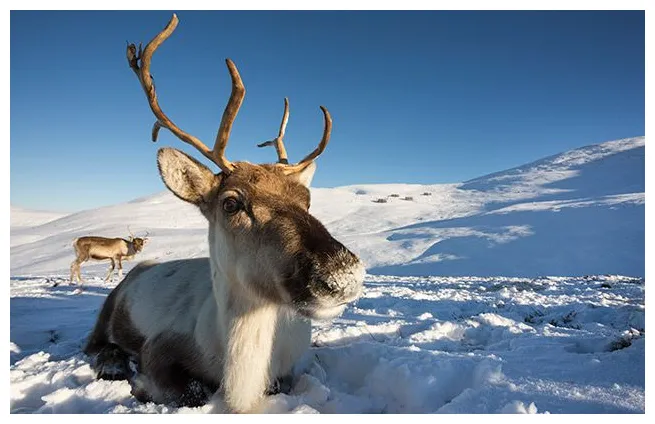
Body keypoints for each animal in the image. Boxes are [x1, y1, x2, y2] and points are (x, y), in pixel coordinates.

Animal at [83, 14, 365, 414]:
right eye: (231, 203)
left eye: (306, 198)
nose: (343, 275)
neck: (240, 374)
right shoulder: (160, 346)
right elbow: (189, 391)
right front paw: (140, 384)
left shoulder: (294, 365)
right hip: (108, 309)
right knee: (94, 344)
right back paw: (112, 363)